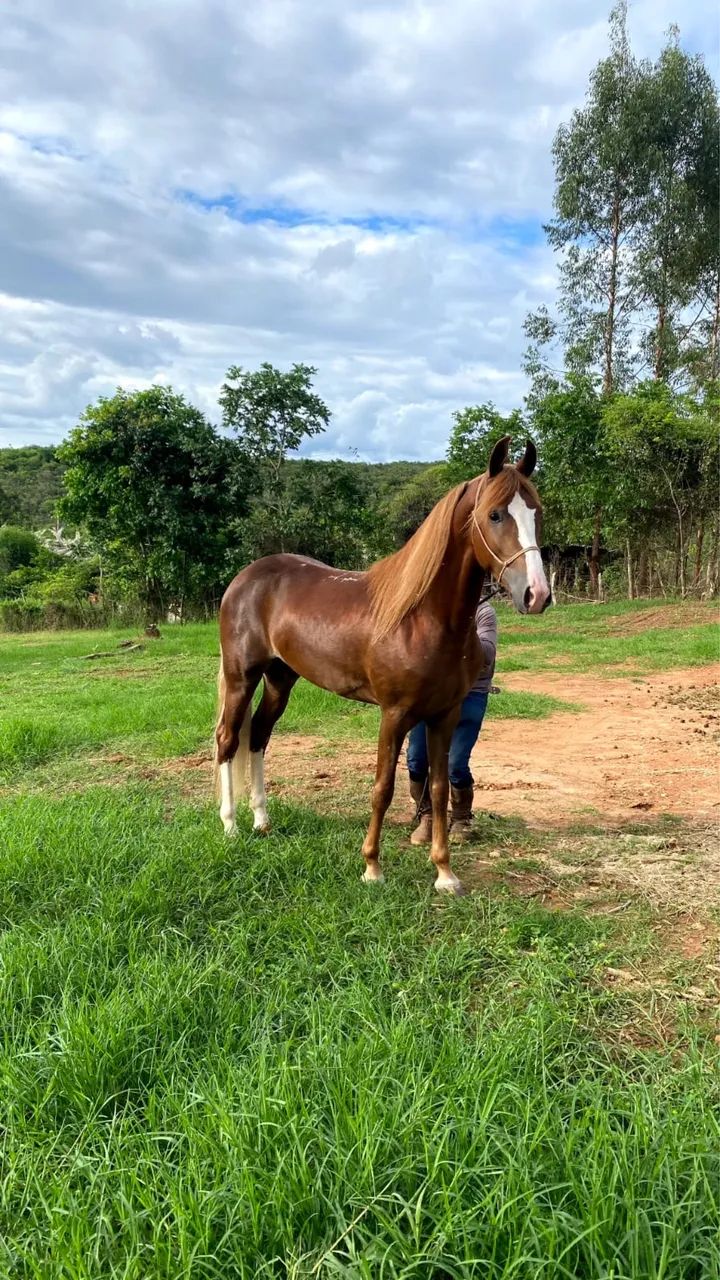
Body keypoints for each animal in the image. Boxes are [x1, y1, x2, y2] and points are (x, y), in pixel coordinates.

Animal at [214, 434, 551, 894]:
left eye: (537, 511)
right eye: (495, 514)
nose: (537, 595)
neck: (422, 618)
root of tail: (245, 579)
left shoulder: (444, 716)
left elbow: (439, 788)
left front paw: (445, 873)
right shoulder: (393, 715)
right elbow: (383, 788)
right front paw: (372, 866)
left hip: (281, 679)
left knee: (259, 737)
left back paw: (261, 821)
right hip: (241, 677)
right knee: (228, 739)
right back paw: (230, 826)